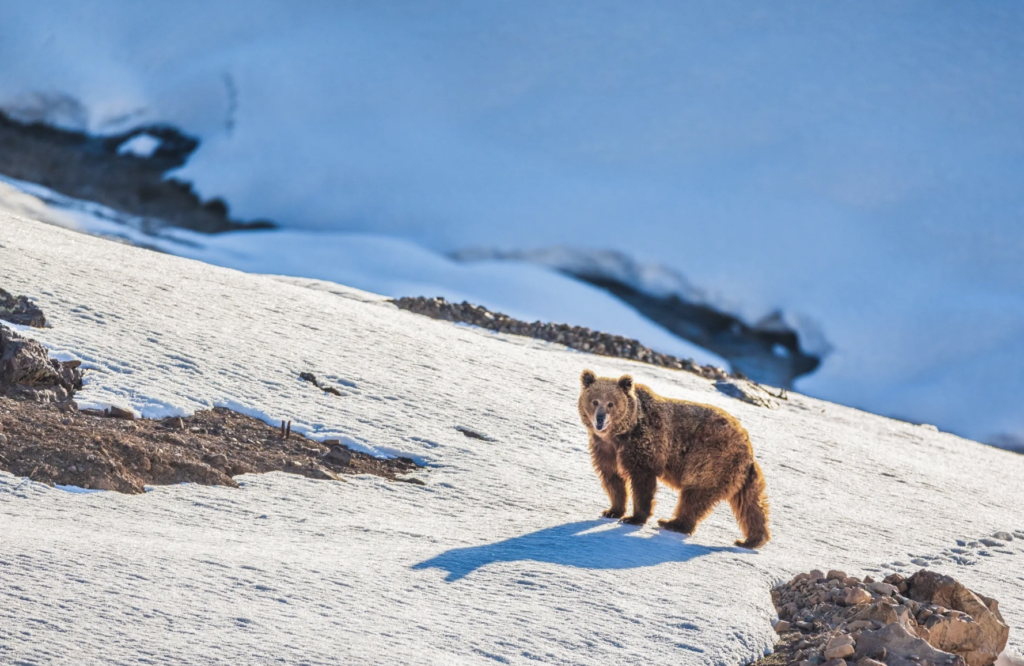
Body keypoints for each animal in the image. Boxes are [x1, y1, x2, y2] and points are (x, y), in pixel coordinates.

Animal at [577, 368, 770, 545]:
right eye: (594, 401)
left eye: (611, 403)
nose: (600, 419)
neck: (620, 434)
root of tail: (748, 447)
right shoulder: (605, 449)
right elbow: (612, 479)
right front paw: (612, 511)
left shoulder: (645, 443)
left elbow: (642, 481)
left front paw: (634, 517)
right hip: (740, 475)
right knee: (751, 505)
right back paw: (752, 539)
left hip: (711, 458)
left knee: (695, 494)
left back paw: (672, 523)